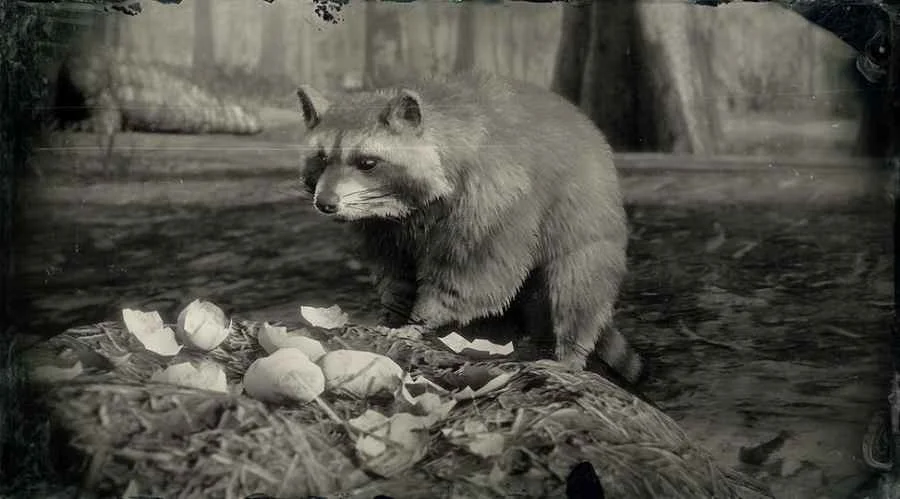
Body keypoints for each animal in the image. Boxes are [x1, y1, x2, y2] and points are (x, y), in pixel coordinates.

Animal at [296, 72, 643, 383]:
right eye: (321, 159)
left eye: (367, 162)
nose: (325, 203)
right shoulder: (378, 225)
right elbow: (396, 271)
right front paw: (393, 311)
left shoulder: (492, 199)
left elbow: (474, 276)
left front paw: (421, 318)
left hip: (586, 224)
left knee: (577, 286)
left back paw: (570, 353)